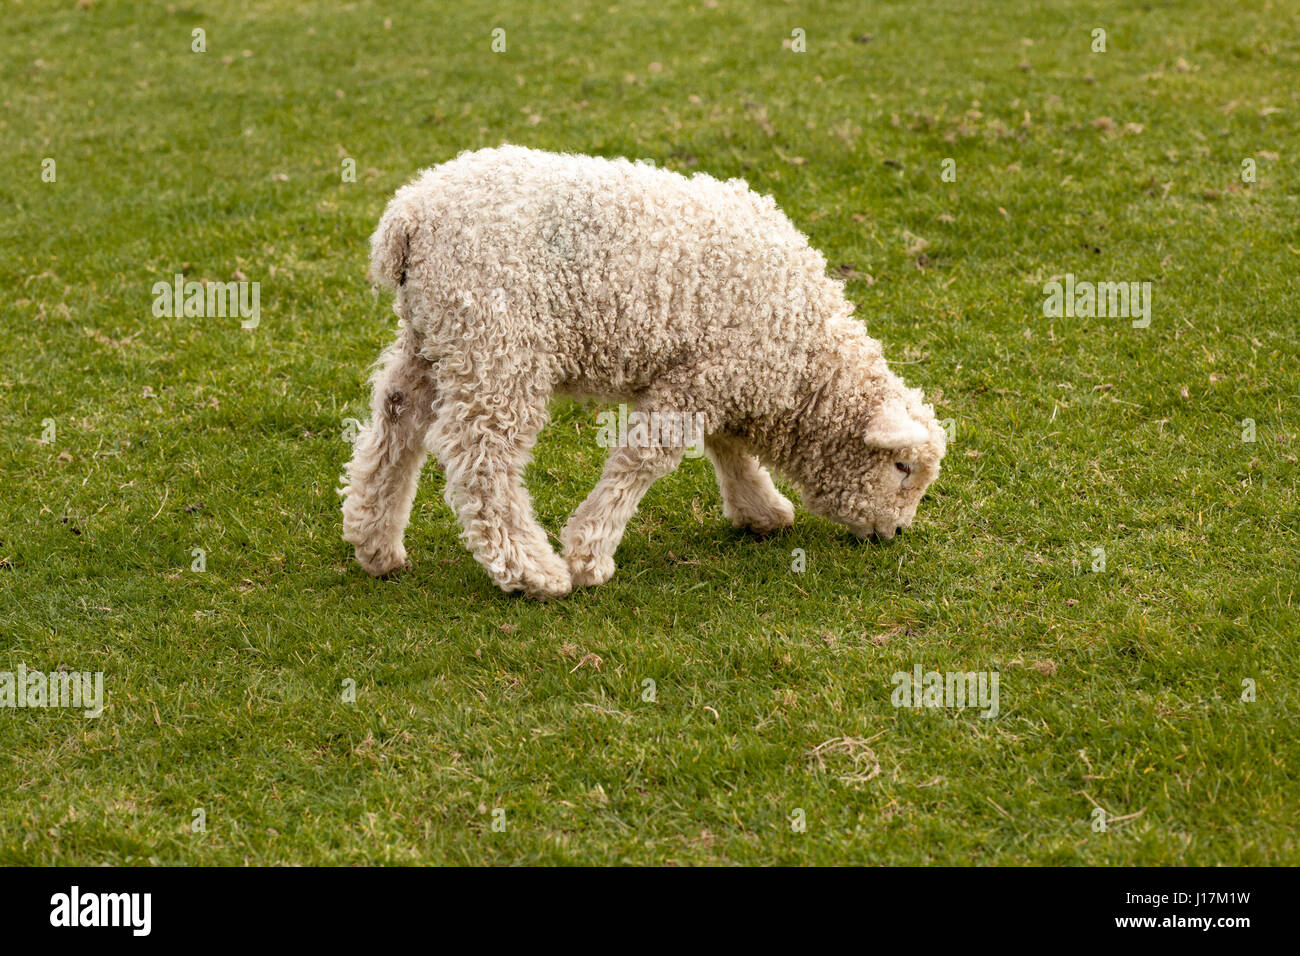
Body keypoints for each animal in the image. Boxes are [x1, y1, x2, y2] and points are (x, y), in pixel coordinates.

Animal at [338, 146, 946, 598]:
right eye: (901, 467)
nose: (894, 532)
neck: (805, 358)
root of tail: (408, 216)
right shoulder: (702, 376)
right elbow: (646, 458)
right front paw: (589, 553)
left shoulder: (723, 374)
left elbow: (727, 445)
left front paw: (760, 509)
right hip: (497, 339)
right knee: (482, 459)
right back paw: (533, 572)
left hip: (435, 335)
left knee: (395, 419)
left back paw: (375, 543)